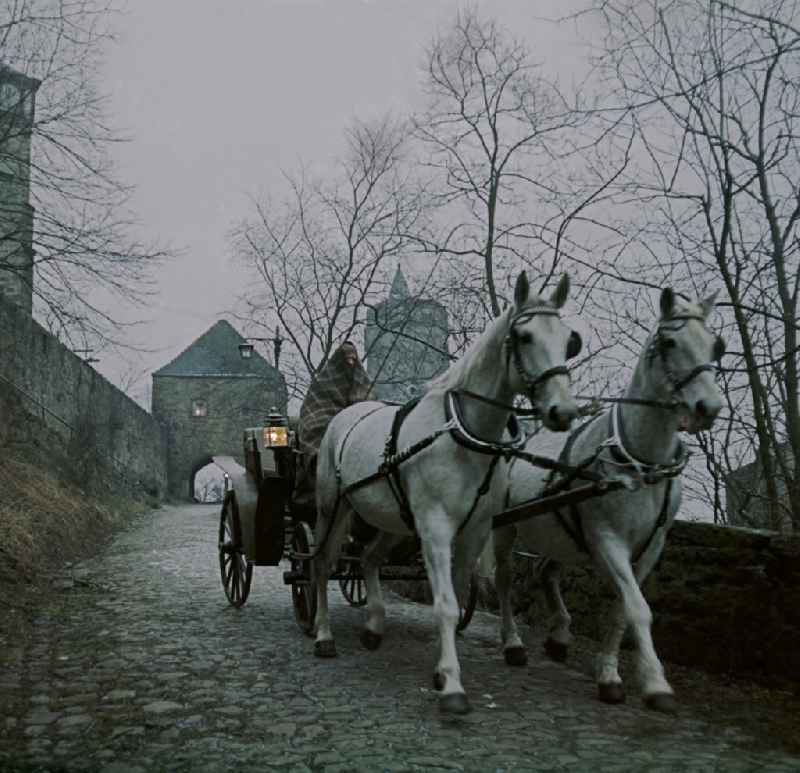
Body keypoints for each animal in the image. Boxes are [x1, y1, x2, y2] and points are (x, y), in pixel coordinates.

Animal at [312, 270, 580, 712]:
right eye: (524, 337)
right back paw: (322, 635)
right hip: (333, 508)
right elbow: (446, 604)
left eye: (568, 340)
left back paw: (374, 625)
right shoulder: (436, 528)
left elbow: (456, 593)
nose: (563, 412)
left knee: (368, 559)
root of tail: (346, 414)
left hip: (392, 520)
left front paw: (442, 669)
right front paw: (453, 684)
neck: (464, 434)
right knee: (320, 563)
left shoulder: (472, 531)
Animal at [494, 290, 724, 712]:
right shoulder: (608, 539)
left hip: (562, 535)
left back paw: (559, 636)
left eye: (716, 344)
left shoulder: (651, 547)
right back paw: (513, 643)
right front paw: (653, 682)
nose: (709, 407)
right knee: (503, 579)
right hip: (505, 527)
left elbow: (621, 610)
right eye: (669, 342)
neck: (641, 462)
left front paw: (609, 672)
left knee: (546, 572)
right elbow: (637, 608)